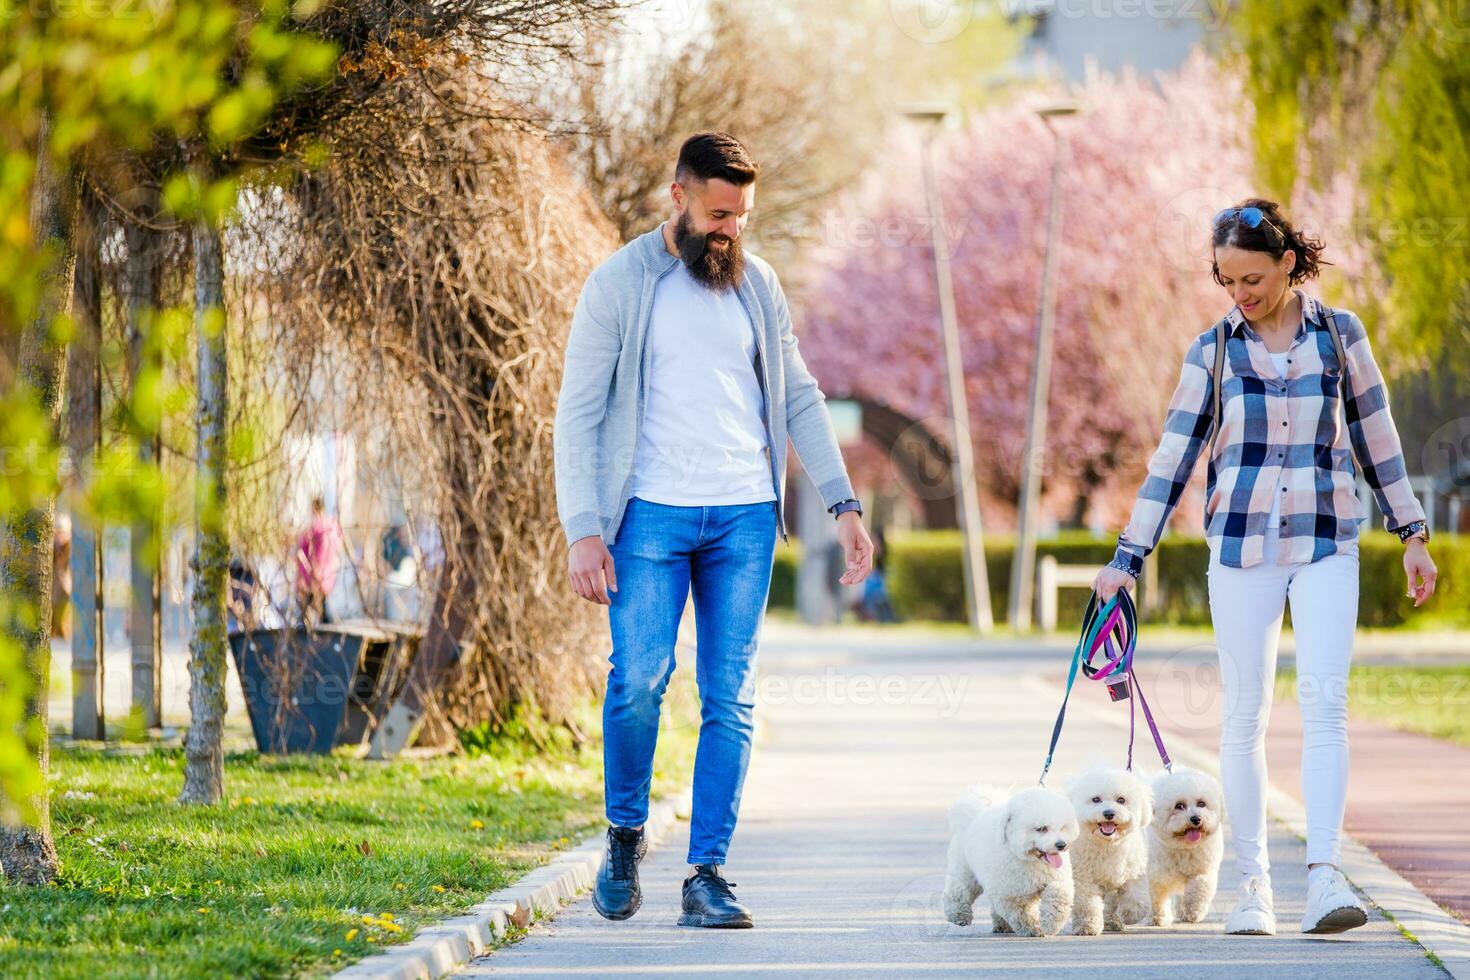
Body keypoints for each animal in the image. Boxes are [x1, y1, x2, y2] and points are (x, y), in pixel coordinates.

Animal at [940, 781, 1081, 934]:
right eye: (1041, 829)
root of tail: (972, 816)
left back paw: (1002, 925)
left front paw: (1051, 923)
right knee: (959, 890)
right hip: (965, 871)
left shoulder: (1057, 879)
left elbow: (1058, 895)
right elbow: (1021, 913)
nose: (1061, 844)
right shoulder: (1010, 894)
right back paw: (959, 915)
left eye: (1062, 827)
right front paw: (1032, 928)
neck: (1030, 859)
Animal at [1064, 764, 1152, 934]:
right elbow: (1087, 904)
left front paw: (1130, 914)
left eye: (1121, 800)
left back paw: (1114, 921)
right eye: (1096, 799)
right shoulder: (1083, 877)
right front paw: (1087, 926)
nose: (1109, 813)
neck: (1108, 844)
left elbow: (1136, 895)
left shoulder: (1136, 869)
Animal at [1140, 764, 1223, 928]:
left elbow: (1200, 887)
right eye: (1179, 806)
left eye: (1202, 803)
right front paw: (1158, 918)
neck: (1184, 848)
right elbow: (1157, 898)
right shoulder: (1157, 876)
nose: (1196, 819)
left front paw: (1194, 910)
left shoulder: (1204, 870)